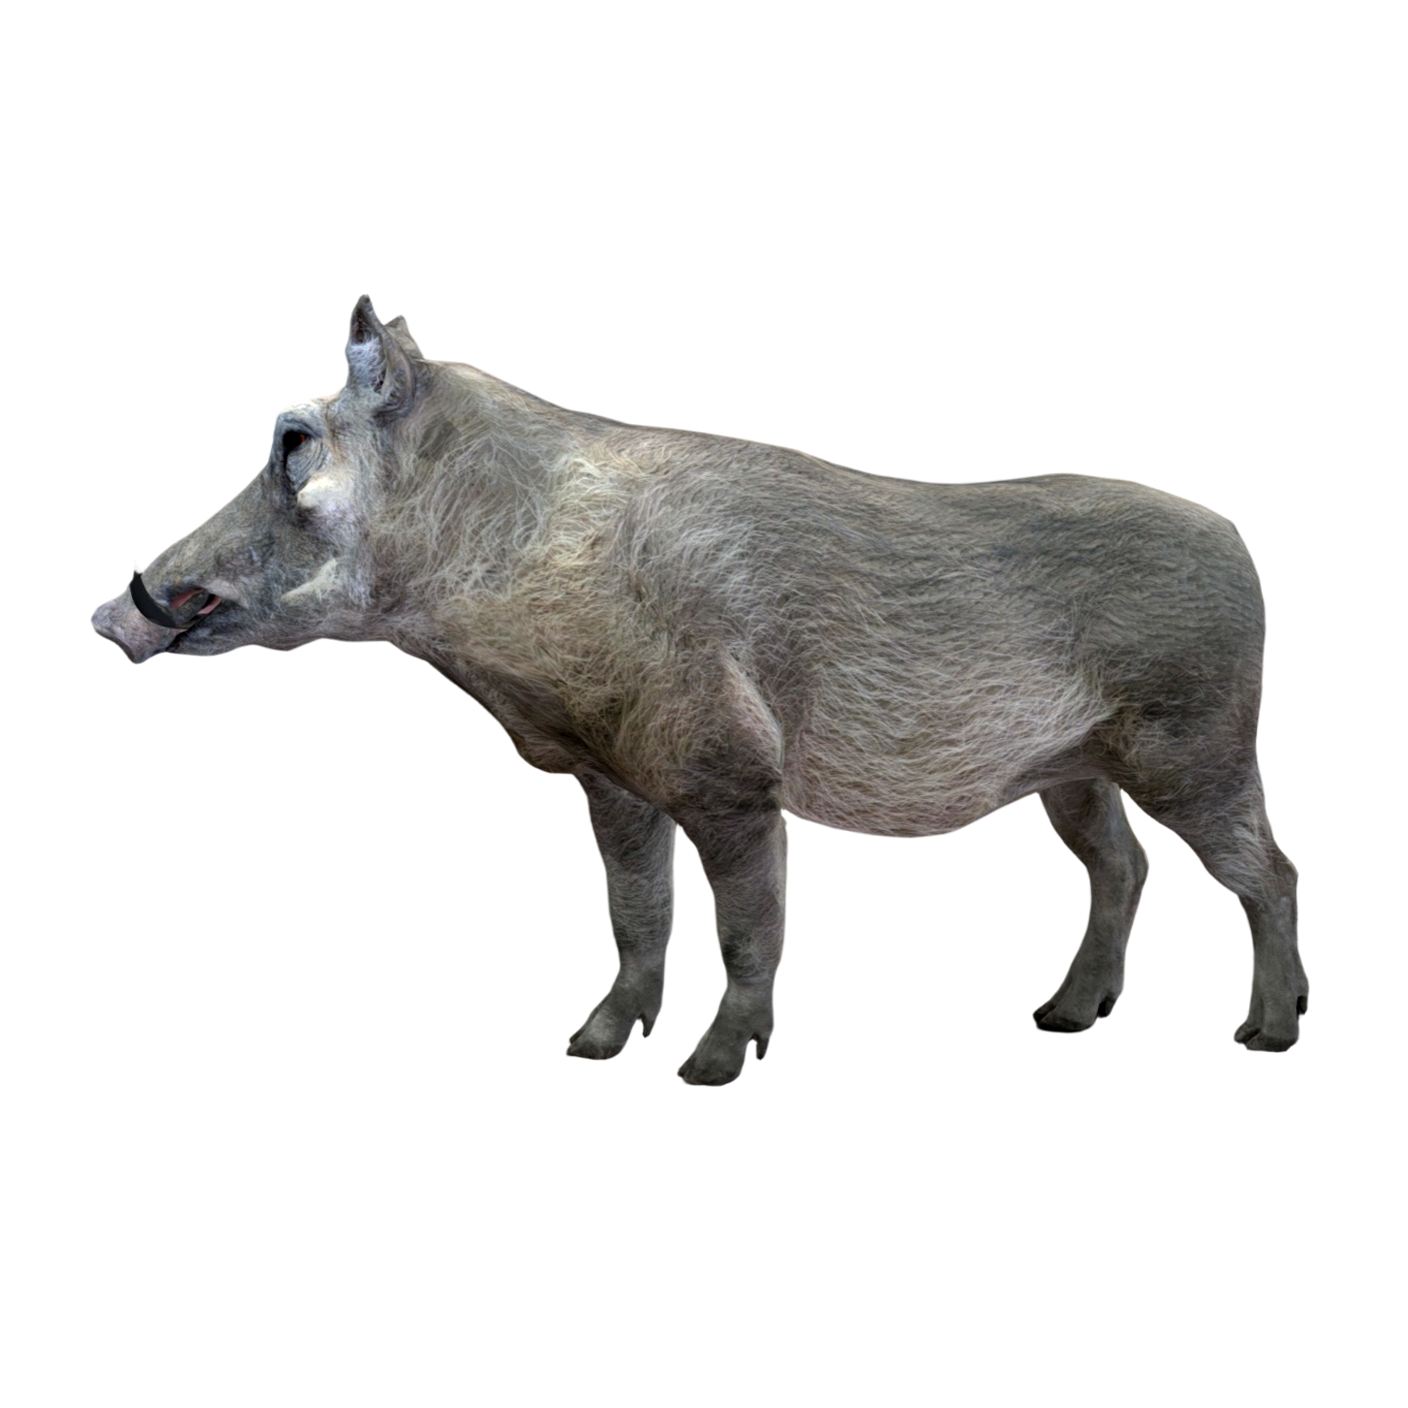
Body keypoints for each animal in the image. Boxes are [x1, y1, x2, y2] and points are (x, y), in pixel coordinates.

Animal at [90, 293, 1310, 1084]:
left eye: (294, 442)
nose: (118, 614)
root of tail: (1235, 544)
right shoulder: (611, 778)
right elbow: (638, 916)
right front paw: (594, 1046)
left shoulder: (732, 782)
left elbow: (749, 929)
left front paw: (713, 1069)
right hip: (1071, 773)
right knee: (1123, 865)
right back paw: (1064, 1016)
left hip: (1197, 751)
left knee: (1268, 871)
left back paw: (1268, 1037)